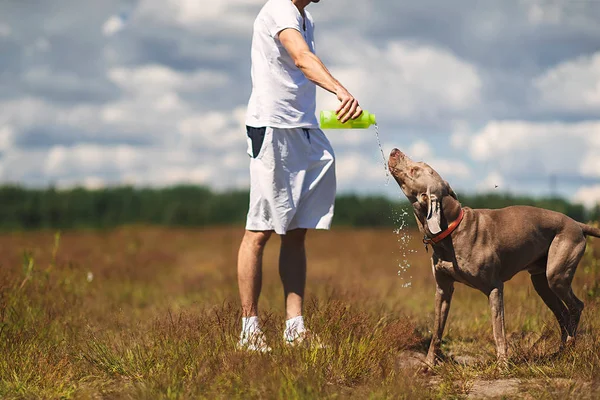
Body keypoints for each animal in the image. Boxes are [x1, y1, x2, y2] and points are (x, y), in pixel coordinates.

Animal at [390, 148, 600, 368]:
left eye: (414, 170)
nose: (394, 150)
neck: (452, 231)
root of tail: (577, 223)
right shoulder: (443, 290)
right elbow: (437, 330)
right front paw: (429, 364)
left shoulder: (494, 288)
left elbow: (498, 330)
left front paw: (503, 365)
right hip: (541, 282)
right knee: (563, 313)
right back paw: (559, 352)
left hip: (557, 273)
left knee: (576, 306)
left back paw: (570, 347)